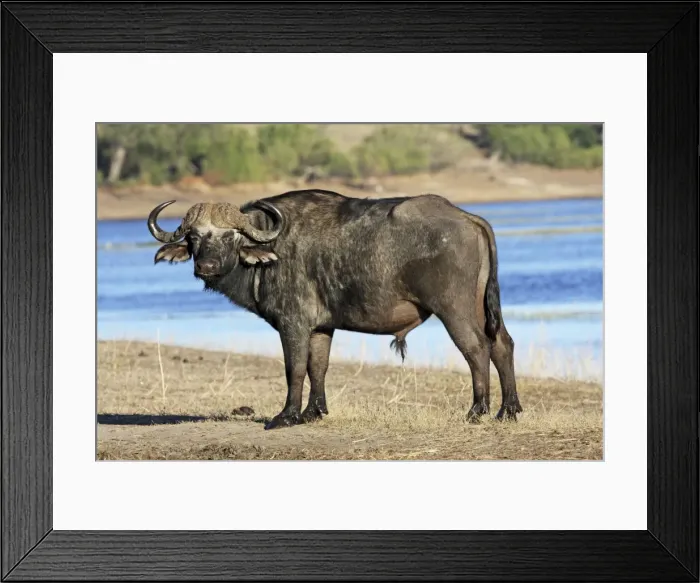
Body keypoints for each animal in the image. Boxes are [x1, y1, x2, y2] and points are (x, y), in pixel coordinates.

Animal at [147, 189, 522, 429]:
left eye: (229, 236)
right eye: (194, 237)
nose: (206, 267)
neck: (270, 248)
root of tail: (468, 217)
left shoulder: (294, 323)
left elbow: (295, 368)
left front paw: (287, 416)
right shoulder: (321, 327)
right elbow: (319, 367)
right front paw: (314, 412)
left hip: (454, 309)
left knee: (476, 349)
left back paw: (477, 410)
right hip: (480, 307)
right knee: (502, 344)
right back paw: (509, 410)